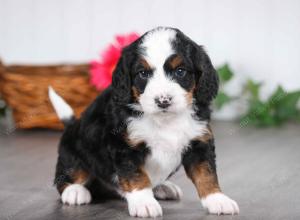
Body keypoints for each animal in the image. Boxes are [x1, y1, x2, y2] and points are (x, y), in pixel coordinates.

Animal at [49, 26, 239, 217]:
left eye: (180, 71)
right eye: (143, 73)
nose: (163, 101)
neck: (165, 120)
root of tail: (71, 125)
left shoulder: (199, 141)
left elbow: (206, 173)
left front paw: (217, 199)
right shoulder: (125, 145)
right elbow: (136, 176)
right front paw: (144, 203)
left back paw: (163, 188)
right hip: (74, 152)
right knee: (67, 177)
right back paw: (74, 191)